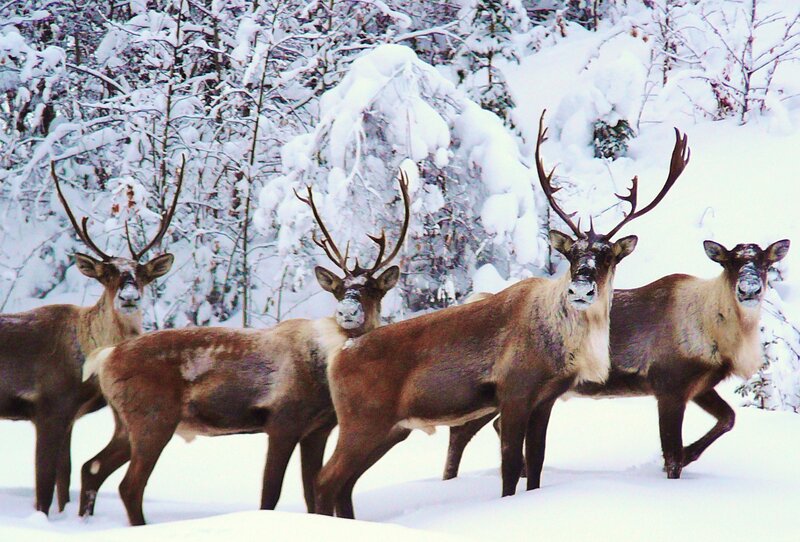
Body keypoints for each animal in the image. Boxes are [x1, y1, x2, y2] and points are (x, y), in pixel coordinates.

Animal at [0, 161, 181, 516]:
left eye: (142, 274)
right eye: (106, 274)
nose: (129, 297)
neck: (86, 365)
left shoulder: (69, 415)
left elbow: (64, 480)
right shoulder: (47, 406)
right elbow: (43, 487)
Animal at [77, 171, 411, 526]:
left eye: (373, 289)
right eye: (339, 290)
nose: (346, 312)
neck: (323, 364)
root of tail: (106, 356)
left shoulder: (318, 428)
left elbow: (310, 492)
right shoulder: (282, 421)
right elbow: (270, 494)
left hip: (124, 422)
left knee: (92, 467)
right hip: (152, 418)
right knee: (129, 485)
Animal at [312, 115, 690, 519]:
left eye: (608, 255)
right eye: (572, 254)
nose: (580, 290)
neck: (559, 344)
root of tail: (339, 356)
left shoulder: (545, 399)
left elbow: (536, 463)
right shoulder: (513, 391)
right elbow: (510, 467)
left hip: (387, 428)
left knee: (342, 483)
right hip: (362, 421)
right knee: (327, 479)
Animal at [442, 239, 789, 482]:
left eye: (765, 262)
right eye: (730, 262)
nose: (749, 288)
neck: (715, 332)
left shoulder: (700, 386)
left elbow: (729, 418)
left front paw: (691, 453)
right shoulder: (669, 385)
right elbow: (672, 456)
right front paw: (678, 460)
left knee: (481, 427)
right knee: (462, 432)